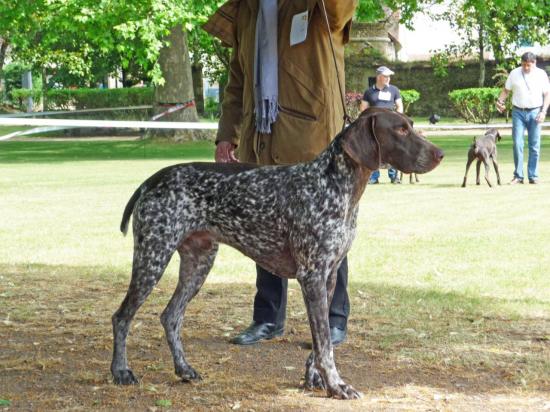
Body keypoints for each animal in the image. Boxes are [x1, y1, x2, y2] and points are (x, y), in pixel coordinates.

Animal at [111, 108, 444, 400]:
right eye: (400, 130)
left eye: (411, 125)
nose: (440, 153)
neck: (334, 185)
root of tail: (151, 180)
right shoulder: (312, 276)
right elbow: (325, 345)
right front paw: (337, 385)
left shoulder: (328, 277)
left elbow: (319, 342)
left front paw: (314, 380)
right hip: (153, 257)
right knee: (122, 317)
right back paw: (121, 371)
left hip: (198, 263)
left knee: (170, 316)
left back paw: (183, 369)